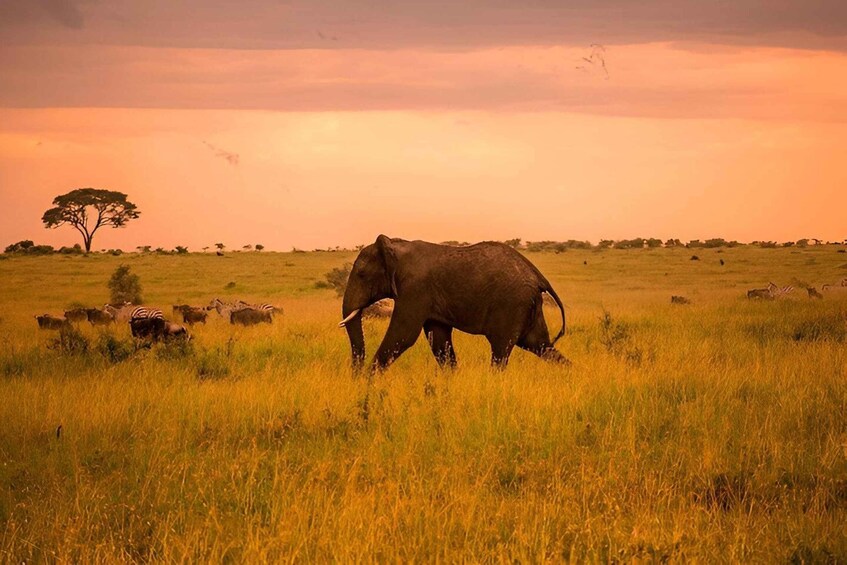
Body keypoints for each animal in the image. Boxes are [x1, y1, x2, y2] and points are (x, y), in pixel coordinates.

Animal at [339, 235, 569, 372]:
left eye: (361, 274)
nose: (355, 374)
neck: (395, 246)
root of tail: (538, 276)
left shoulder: (415, 289)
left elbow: (403, 335)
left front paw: (367, 383)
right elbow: (439, 340)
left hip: (512, 304)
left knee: (501, 351)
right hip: (529, 305)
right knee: (540, 345)